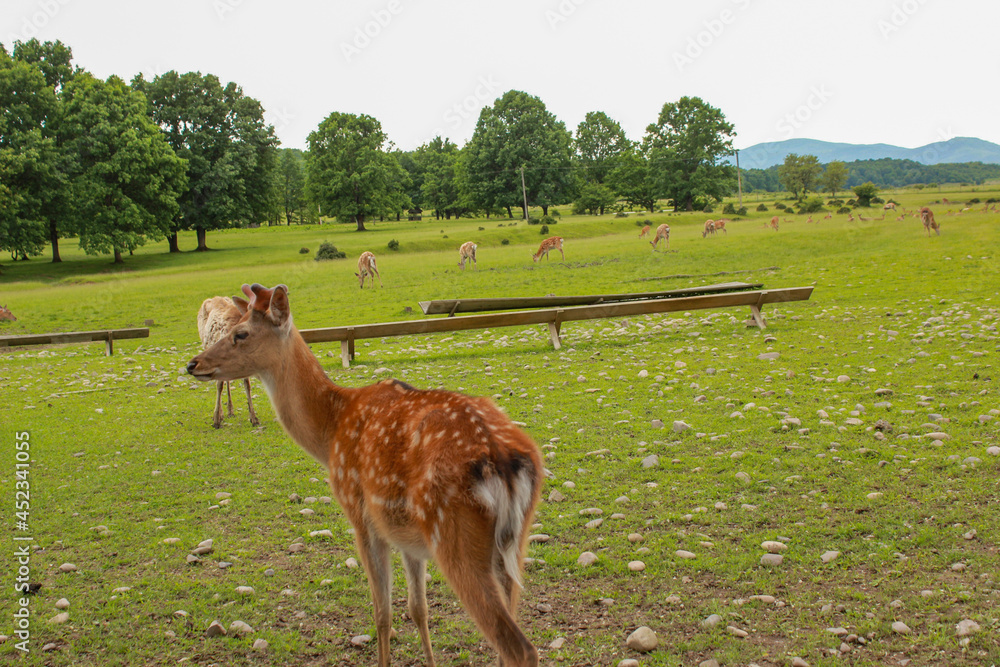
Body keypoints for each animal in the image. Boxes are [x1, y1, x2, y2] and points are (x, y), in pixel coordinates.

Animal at [197, 297, 260, 429]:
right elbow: (219, 385)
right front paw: (216, 419)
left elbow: (247, 384)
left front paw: (253, 418)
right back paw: (221, 413)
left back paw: (230, 410)